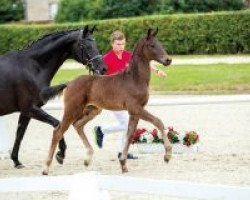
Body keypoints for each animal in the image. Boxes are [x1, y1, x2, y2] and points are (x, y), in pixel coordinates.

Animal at [0, 25, 106, 169]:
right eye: (85, 45)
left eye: (95, 43)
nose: (103, 68)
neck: (32, 67)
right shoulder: (30, 108)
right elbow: (57, 124)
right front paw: (61, 154)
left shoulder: (26, 112)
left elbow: (20, 134)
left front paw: (16, 161)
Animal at [42, 28, 172, 175]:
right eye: (152, 45)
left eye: (160, 43)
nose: (168, 60)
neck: (135, 79)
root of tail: (69, 83)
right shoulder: (136, 108)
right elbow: (158, 121)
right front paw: (167, 155)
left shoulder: (135, 112)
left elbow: (130, 134)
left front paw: (123, 163)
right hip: (72, 110)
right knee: (58, 131)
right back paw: (46, 167)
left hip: (92, 110)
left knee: (78, 125)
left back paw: (88, 158)